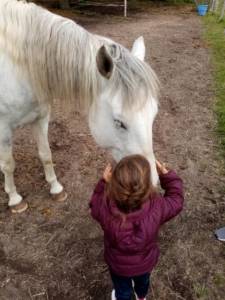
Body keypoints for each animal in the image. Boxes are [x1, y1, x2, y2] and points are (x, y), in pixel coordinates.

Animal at [0, 0, 158, 212]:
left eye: (153, 116)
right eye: (119, 122)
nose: (151, 187)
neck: (20, 68)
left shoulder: (40, 117)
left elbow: (46, 154)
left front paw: (56, 188)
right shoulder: (3, 129)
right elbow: (8, 164)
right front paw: (15, 199)